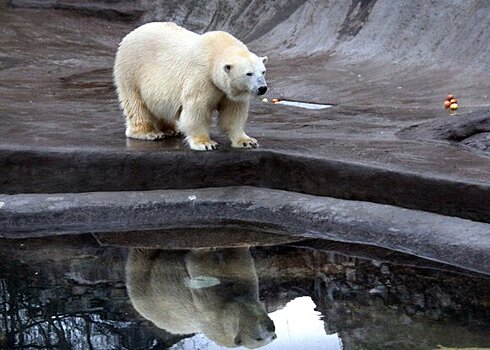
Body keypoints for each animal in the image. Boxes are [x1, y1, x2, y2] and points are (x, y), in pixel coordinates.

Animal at [114, 22, 268, 151]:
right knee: (136, 104)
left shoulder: (229, 92)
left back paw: (172, 129)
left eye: (263, 71)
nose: (262, 88)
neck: (216, 51)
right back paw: (149, 132)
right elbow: (197, 109)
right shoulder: (202, 77)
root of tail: (130, 35)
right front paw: (206, 143)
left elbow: (233, 113)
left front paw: (247, 141)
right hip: (131, 72)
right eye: (249, 73)